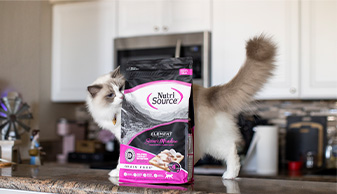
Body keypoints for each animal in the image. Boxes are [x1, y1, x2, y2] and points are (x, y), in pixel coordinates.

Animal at [85, 34, 274, 179]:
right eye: (111, 95)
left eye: (121, 88)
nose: (122, 97)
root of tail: (210, 91)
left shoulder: (128, 136)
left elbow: (121, 159)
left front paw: (119, 172)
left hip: (212, 141)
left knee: (231, 151)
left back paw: (229, 175)